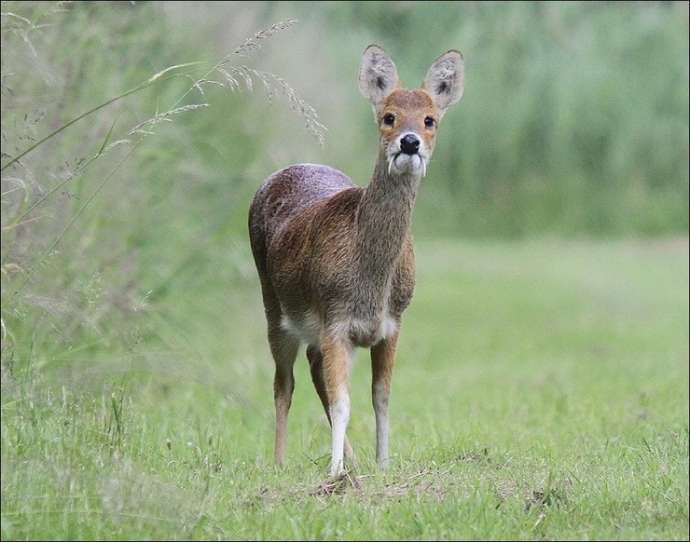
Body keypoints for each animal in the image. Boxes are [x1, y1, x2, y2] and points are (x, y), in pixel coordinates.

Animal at [247, 44, 462, 478]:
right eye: (389, 116)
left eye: (429, 119)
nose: (410, 142)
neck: (371, 282)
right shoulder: (335, 318)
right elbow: (343, 400)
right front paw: (334, 472)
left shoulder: (392, 323)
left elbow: (381, 397)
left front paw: (382, 465)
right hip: (274, 305)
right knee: (284, 383)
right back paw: (280, 461)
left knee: (313, 368)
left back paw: (353, 459)